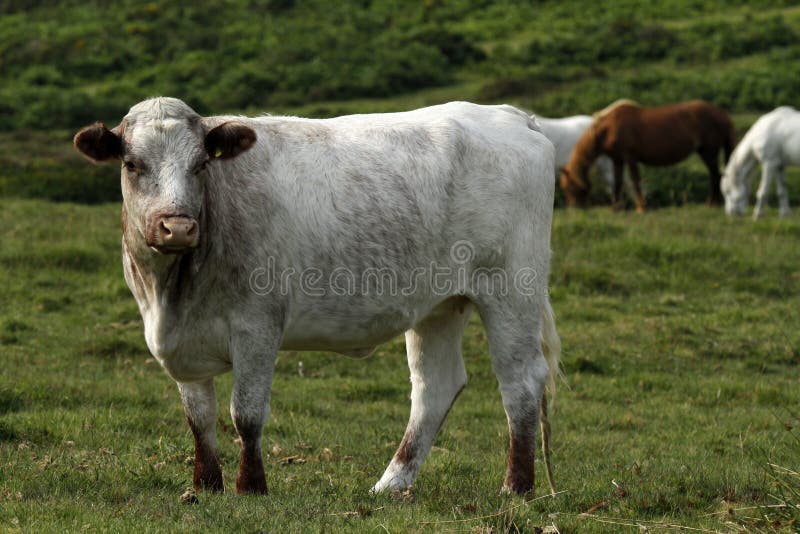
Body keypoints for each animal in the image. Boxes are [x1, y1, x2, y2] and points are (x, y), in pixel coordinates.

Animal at [73, 98, 564, 500]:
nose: (177, 227)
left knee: (520, 381)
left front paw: (251, 487)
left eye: (200, 165)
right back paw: (391, 484)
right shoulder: (184, 342)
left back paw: (516, 487)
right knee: (434, 387)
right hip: (439, 305)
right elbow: (199, 417)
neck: (171, 293)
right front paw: (206, 485)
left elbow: (245, 413)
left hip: (511, 289)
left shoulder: (257, 325)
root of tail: (511, 116)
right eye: (132, 164)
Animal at [560, 100, 736, 211]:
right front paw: (616, 207)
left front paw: (641, 207)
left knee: (715, 175)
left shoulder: (630, 157)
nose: (575, 208)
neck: (608, 128)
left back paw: (712, 203)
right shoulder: (617, 159)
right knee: (716, 174)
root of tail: (723, 115)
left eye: (569, 186)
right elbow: (617, 183)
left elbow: (635, 181)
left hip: (709, 152)